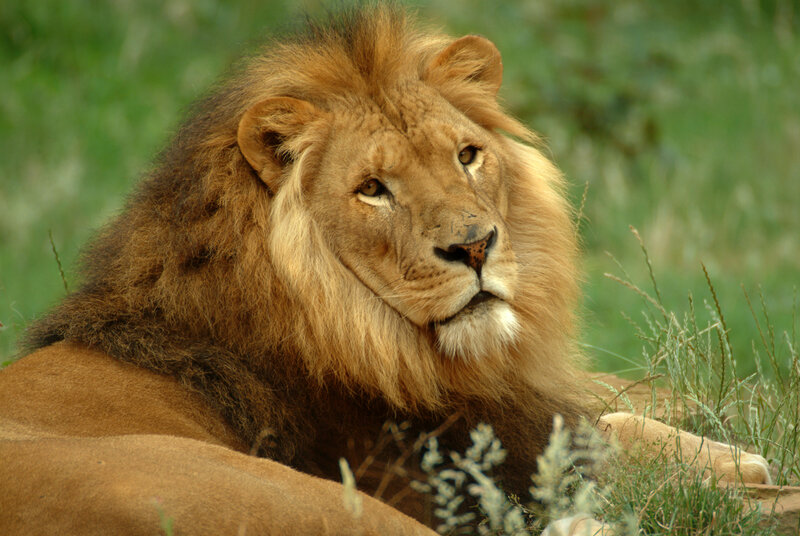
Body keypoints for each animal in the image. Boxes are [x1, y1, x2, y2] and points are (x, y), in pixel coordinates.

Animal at [0, 6, 769, 535]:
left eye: (467, 155)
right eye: (373, 189)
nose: (476, 246)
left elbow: (624, 398)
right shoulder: (452, 460)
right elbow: (603, 430)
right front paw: (735, 464)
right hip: (293, 496)